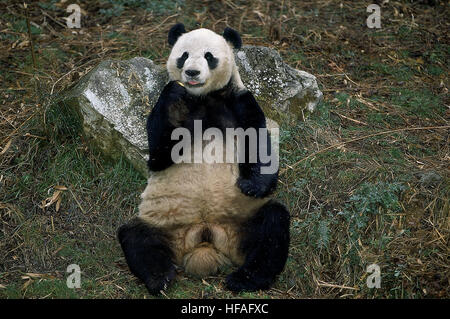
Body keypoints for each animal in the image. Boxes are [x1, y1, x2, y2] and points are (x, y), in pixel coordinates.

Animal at [118, 23, 290, 296]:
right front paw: (175, 95)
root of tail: (205, 241)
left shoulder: (239, 100)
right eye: (184, 55)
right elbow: (158, 155)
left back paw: (245, 279)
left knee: (273, 227)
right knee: (136, 237)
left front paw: (251, 185)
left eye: (209, 56)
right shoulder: (166, 108)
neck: (203, 97)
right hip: (164, 224)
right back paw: (160, 278)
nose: (191, 72)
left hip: (244, 222)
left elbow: (259, 143)